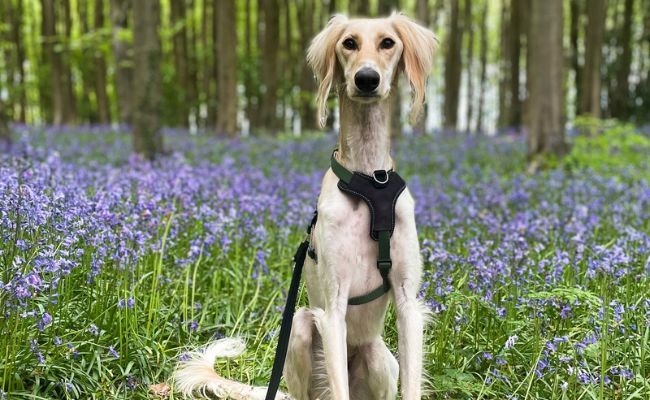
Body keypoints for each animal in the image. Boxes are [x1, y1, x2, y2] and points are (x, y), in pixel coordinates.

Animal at [172, 12, 436, 400]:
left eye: (388, 43)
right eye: (349, 43)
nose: (366, 79)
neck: (370, 186)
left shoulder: (407, 303)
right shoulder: (333, 310)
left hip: (378, 355)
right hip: (299, 326)